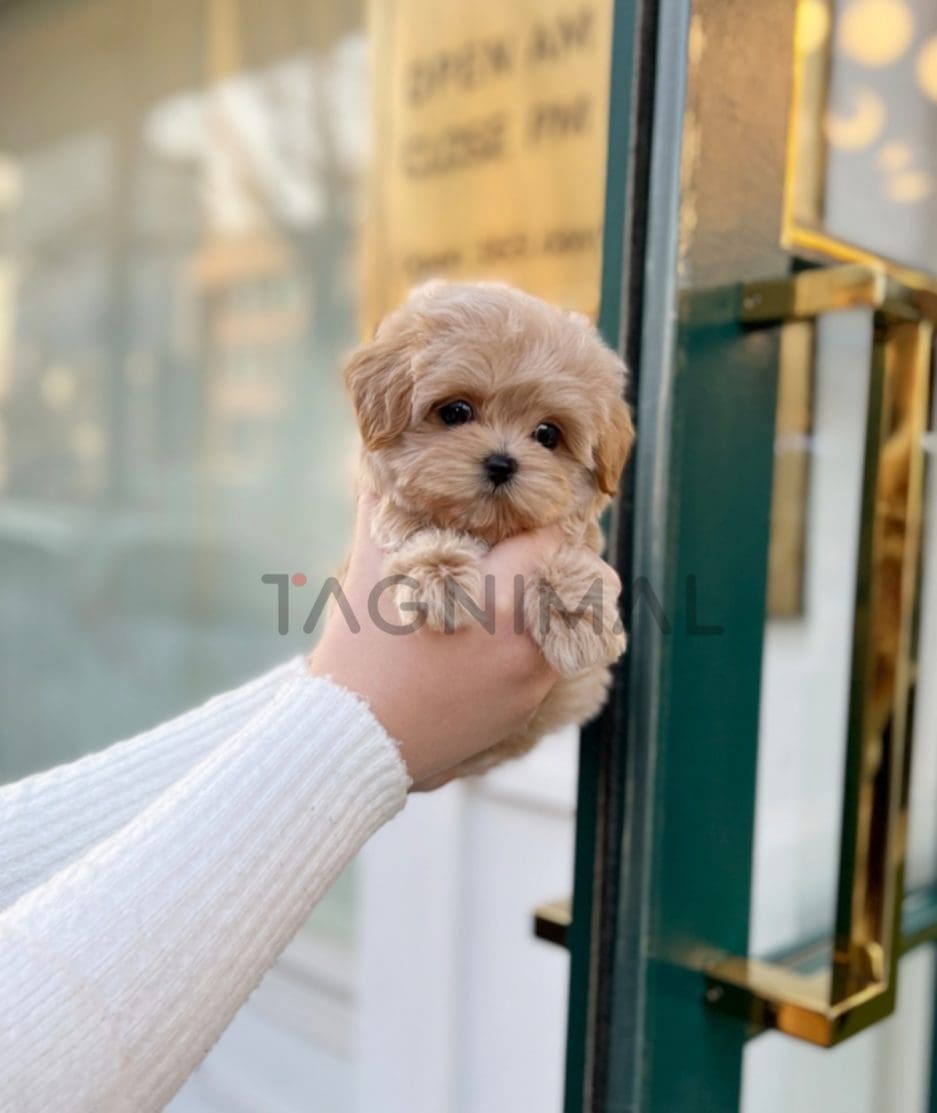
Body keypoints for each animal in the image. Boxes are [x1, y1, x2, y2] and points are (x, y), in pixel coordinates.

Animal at [342, 282, 636, 779]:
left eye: (548, 434)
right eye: (456, 411)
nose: (502, 463)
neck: (485, 528)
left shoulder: (572, 533)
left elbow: (568, 551)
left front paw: (577, 614)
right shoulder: (390, 508)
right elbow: (414, 529)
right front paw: (439, 573)